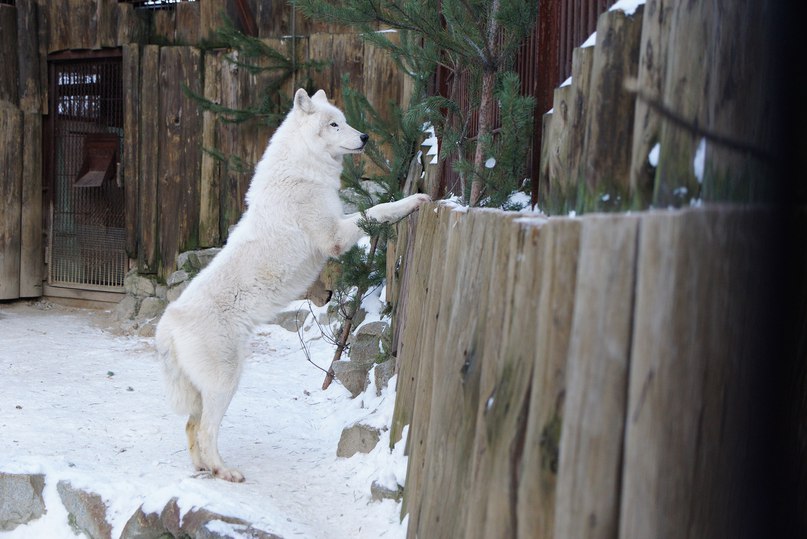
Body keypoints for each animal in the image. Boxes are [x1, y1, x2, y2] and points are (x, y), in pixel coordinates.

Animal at [153, 89, 430, 486]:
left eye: (344, 120)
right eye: (334, 124)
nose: (364, 137)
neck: (302, 169)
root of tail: (168, 324)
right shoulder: (335, 236)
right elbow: (378, 210)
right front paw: (413, 202)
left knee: (191, 428)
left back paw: (204, 469)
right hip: (226, 383)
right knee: (205, 431)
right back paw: (225, 471)